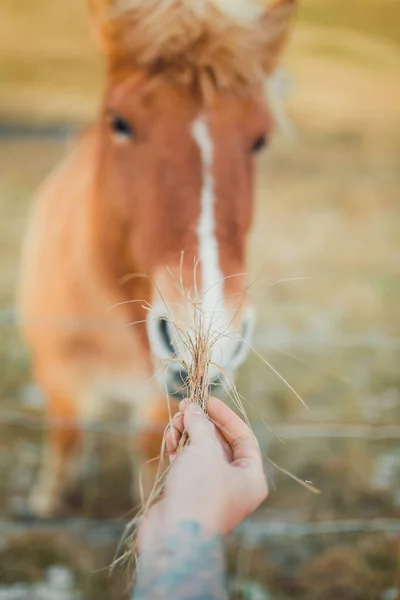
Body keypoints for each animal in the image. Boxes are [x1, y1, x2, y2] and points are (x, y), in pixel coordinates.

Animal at [18, 0, 296, 516]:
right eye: (119, 122)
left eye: (260, 139)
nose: (203, 331)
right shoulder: (58, 378)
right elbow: (65, 439)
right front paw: (47, 501)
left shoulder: (155, 398)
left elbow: (148, 454)